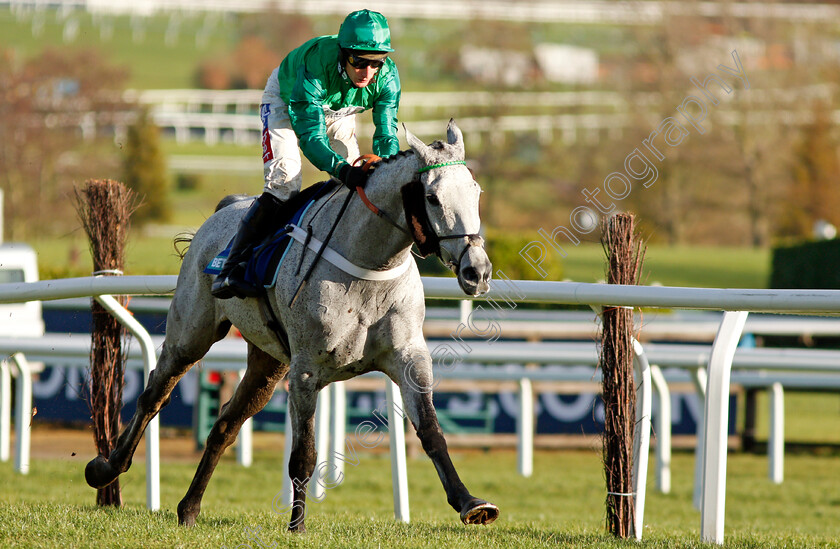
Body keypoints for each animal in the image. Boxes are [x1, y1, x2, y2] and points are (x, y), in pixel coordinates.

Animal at [85, 119, 498, 532]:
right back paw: (106, 468)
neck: (369, 266)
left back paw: (189, 507)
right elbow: (304, 453)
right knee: (154, 393)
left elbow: (431, 432)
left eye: (476, 192)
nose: (477, 271)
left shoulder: (409, 357)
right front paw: (296, 526)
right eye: (432, 198)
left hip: (267, 364)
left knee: (225, 425)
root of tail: (227, 208)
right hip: (191, 335)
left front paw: (470, 503)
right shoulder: (306, 371)